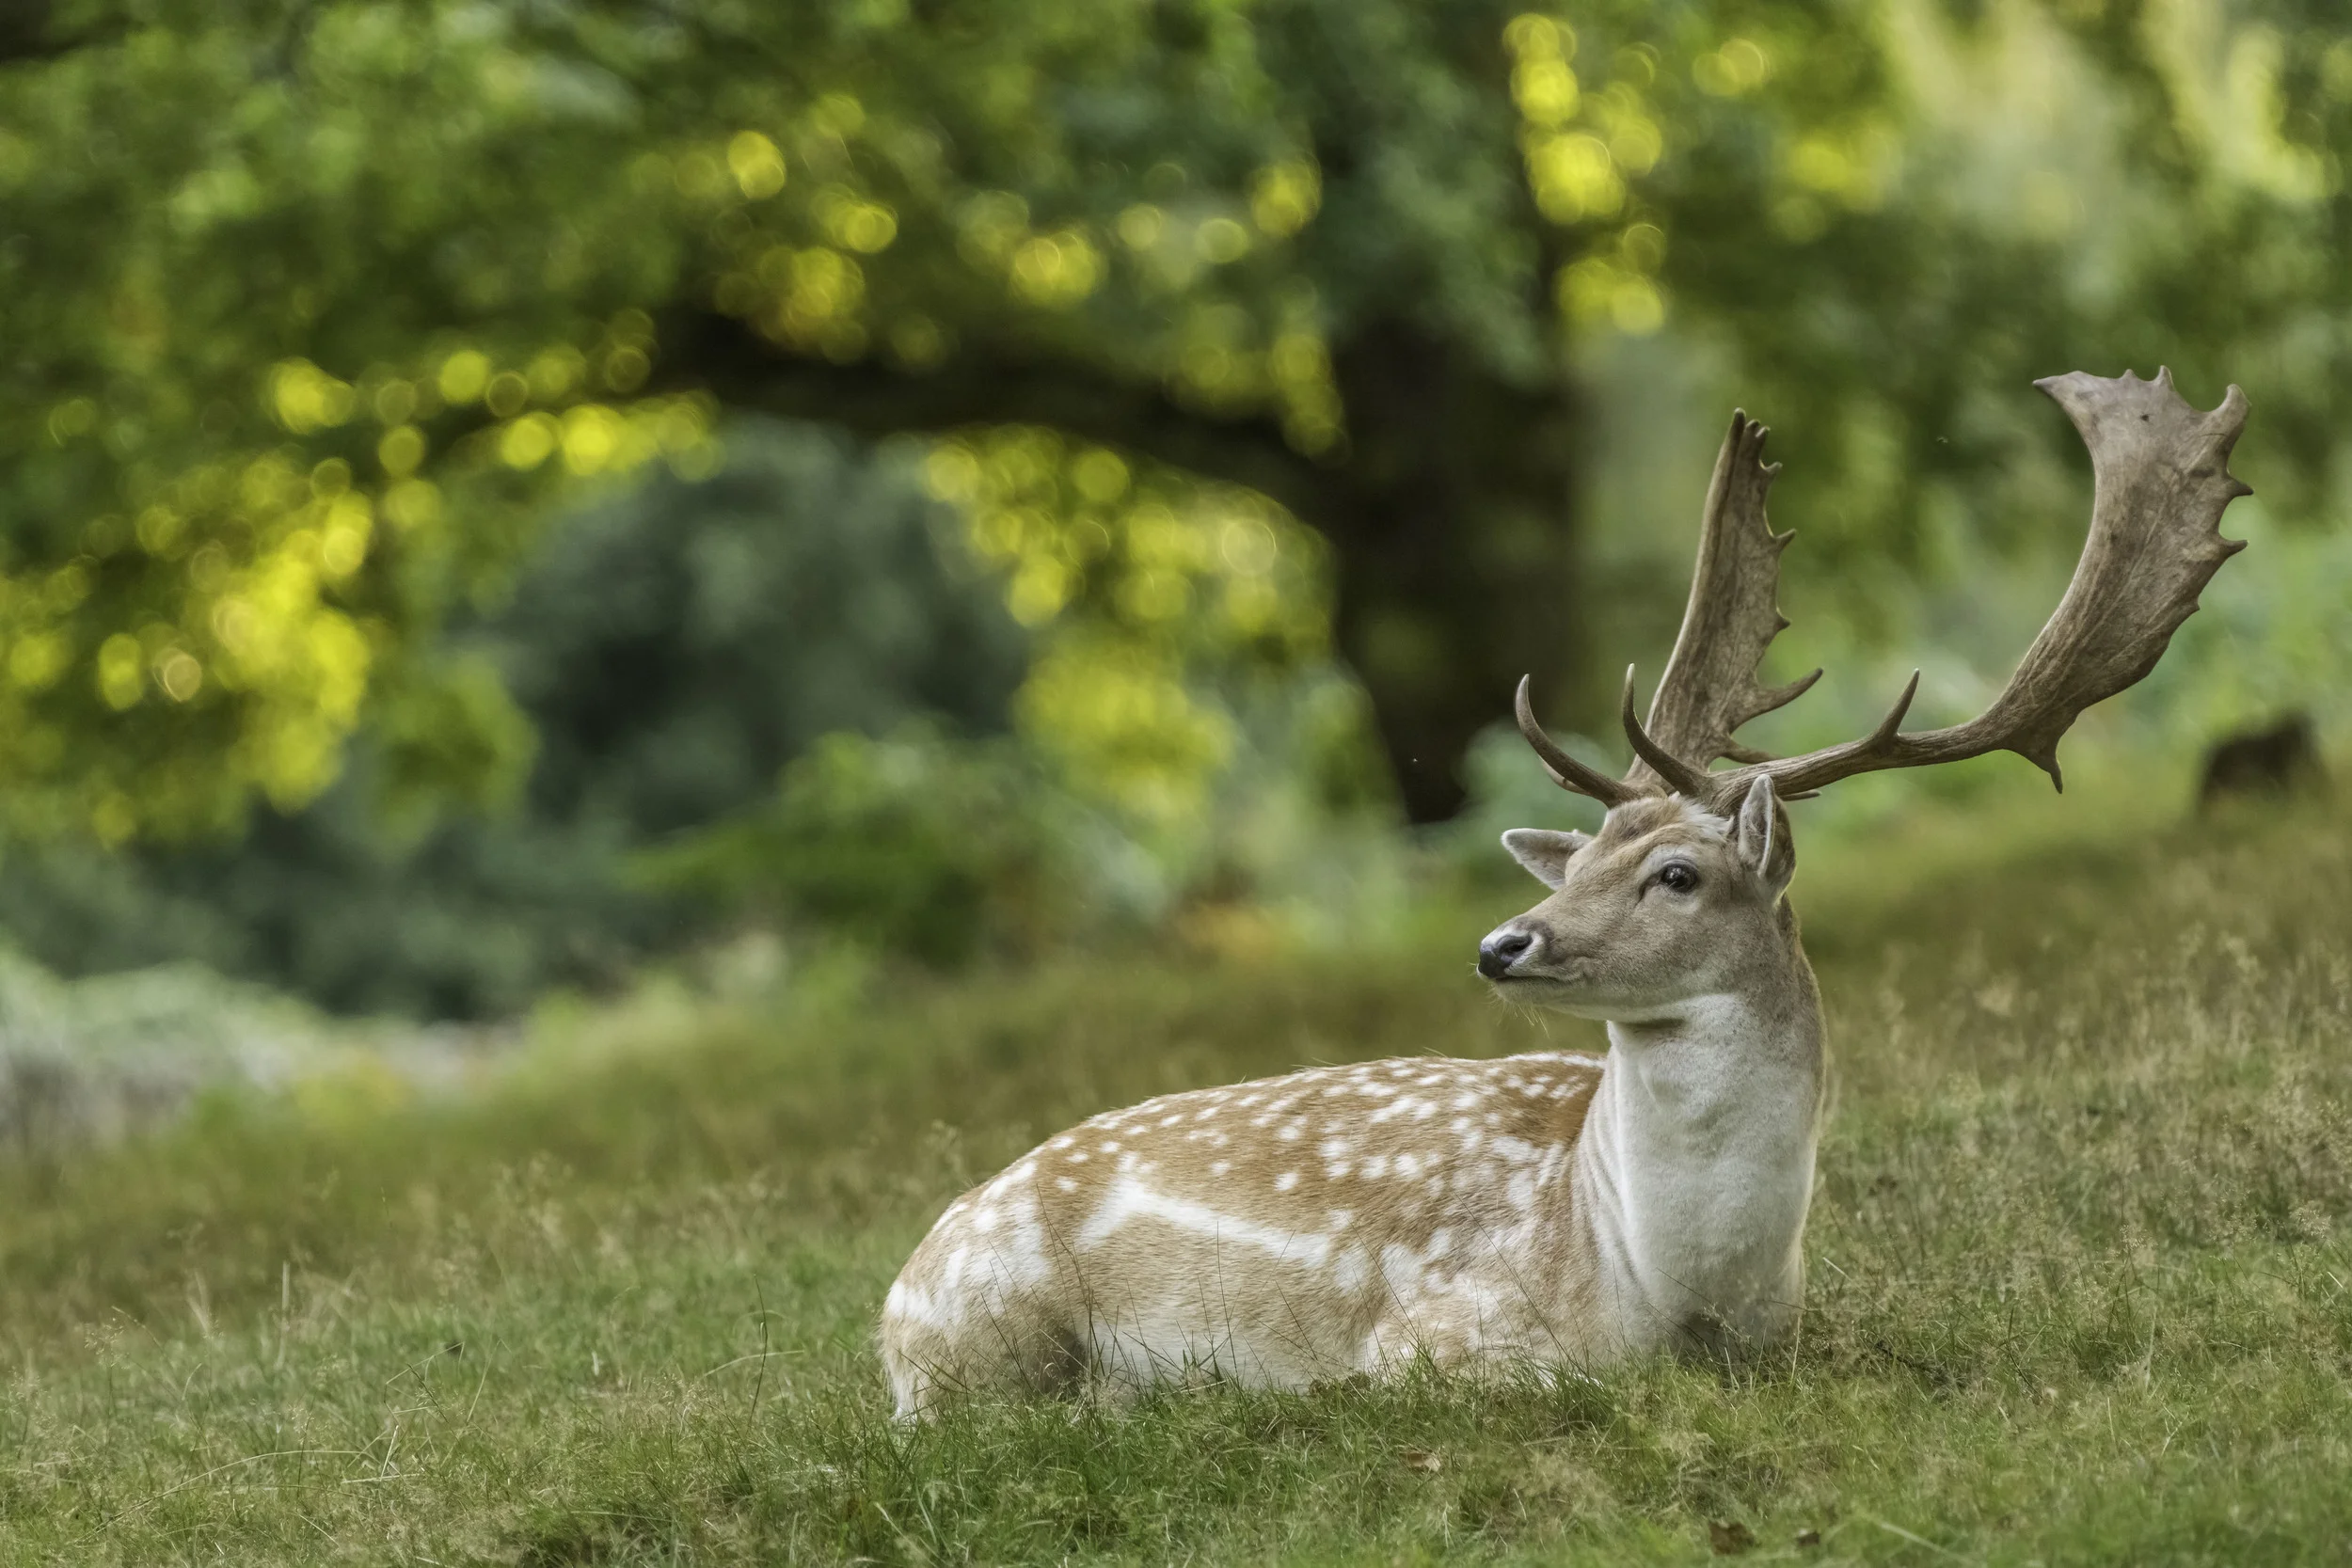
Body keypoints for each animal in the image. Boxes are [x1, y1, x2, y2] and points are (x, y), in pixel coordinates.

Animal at [879, 370, 2250, 1417]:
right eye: (1577, 859)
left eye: (1674, 872)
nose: (1503, 943)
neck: (1670, 1291)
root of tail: (891, 1302)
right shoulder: (1437, 1326)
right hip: (988, 1329)